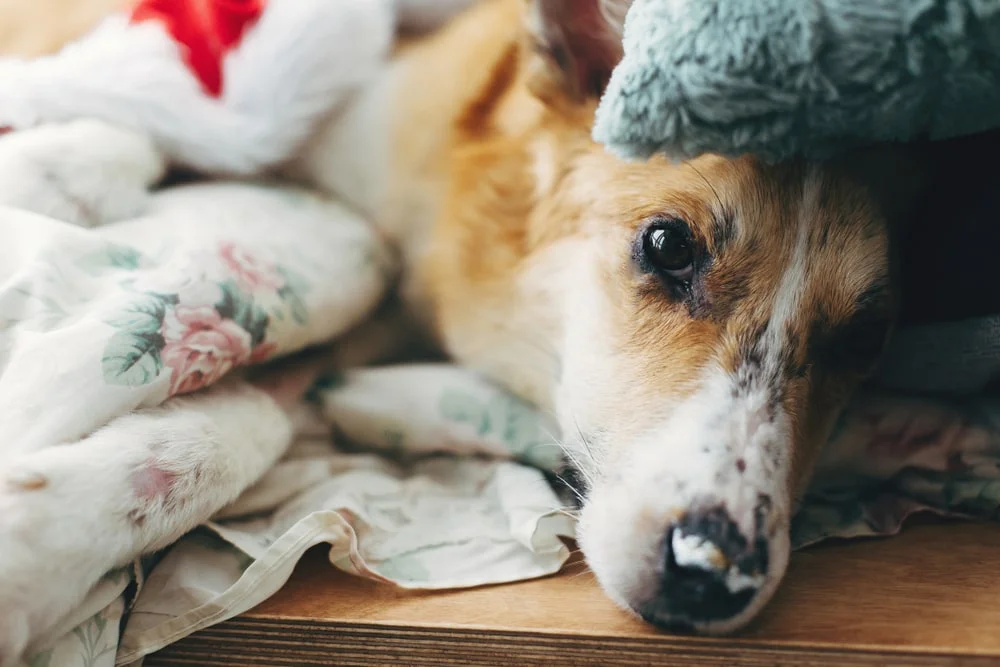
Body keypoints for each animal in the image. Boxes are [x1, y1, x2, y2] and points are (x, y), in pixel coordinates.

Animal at [0, 0, 920, 660]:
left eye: (865, 340)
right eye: (667, 245)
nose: (711, 574)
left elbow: (249, 421)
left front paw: (42, 534)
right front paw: (50, 170)